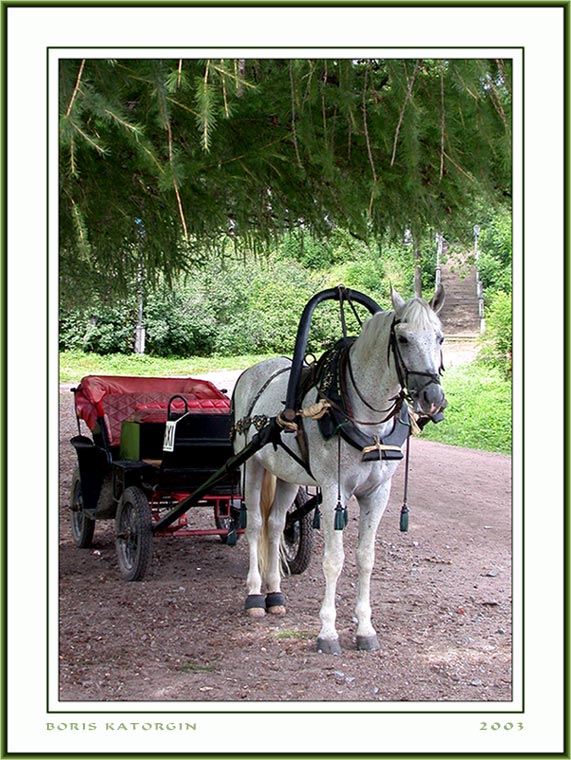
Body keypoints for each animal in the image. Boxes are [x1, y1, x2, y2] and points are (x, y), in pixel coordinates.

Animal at [232, 284, 446, 652]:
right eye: (403, 339)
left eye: (440, 337)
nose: (433, 398)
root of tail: (250, 372)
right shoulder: (336, 491)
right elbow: (334, 560)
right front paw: (328, 632)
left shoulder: (378, 493)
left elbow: (365, 558)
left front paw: (365, 629)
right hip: (251, 465)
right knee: (255, 525)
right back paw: (256, 595)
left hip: (287, 476)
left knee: (275, 526)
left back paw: (275, 594)